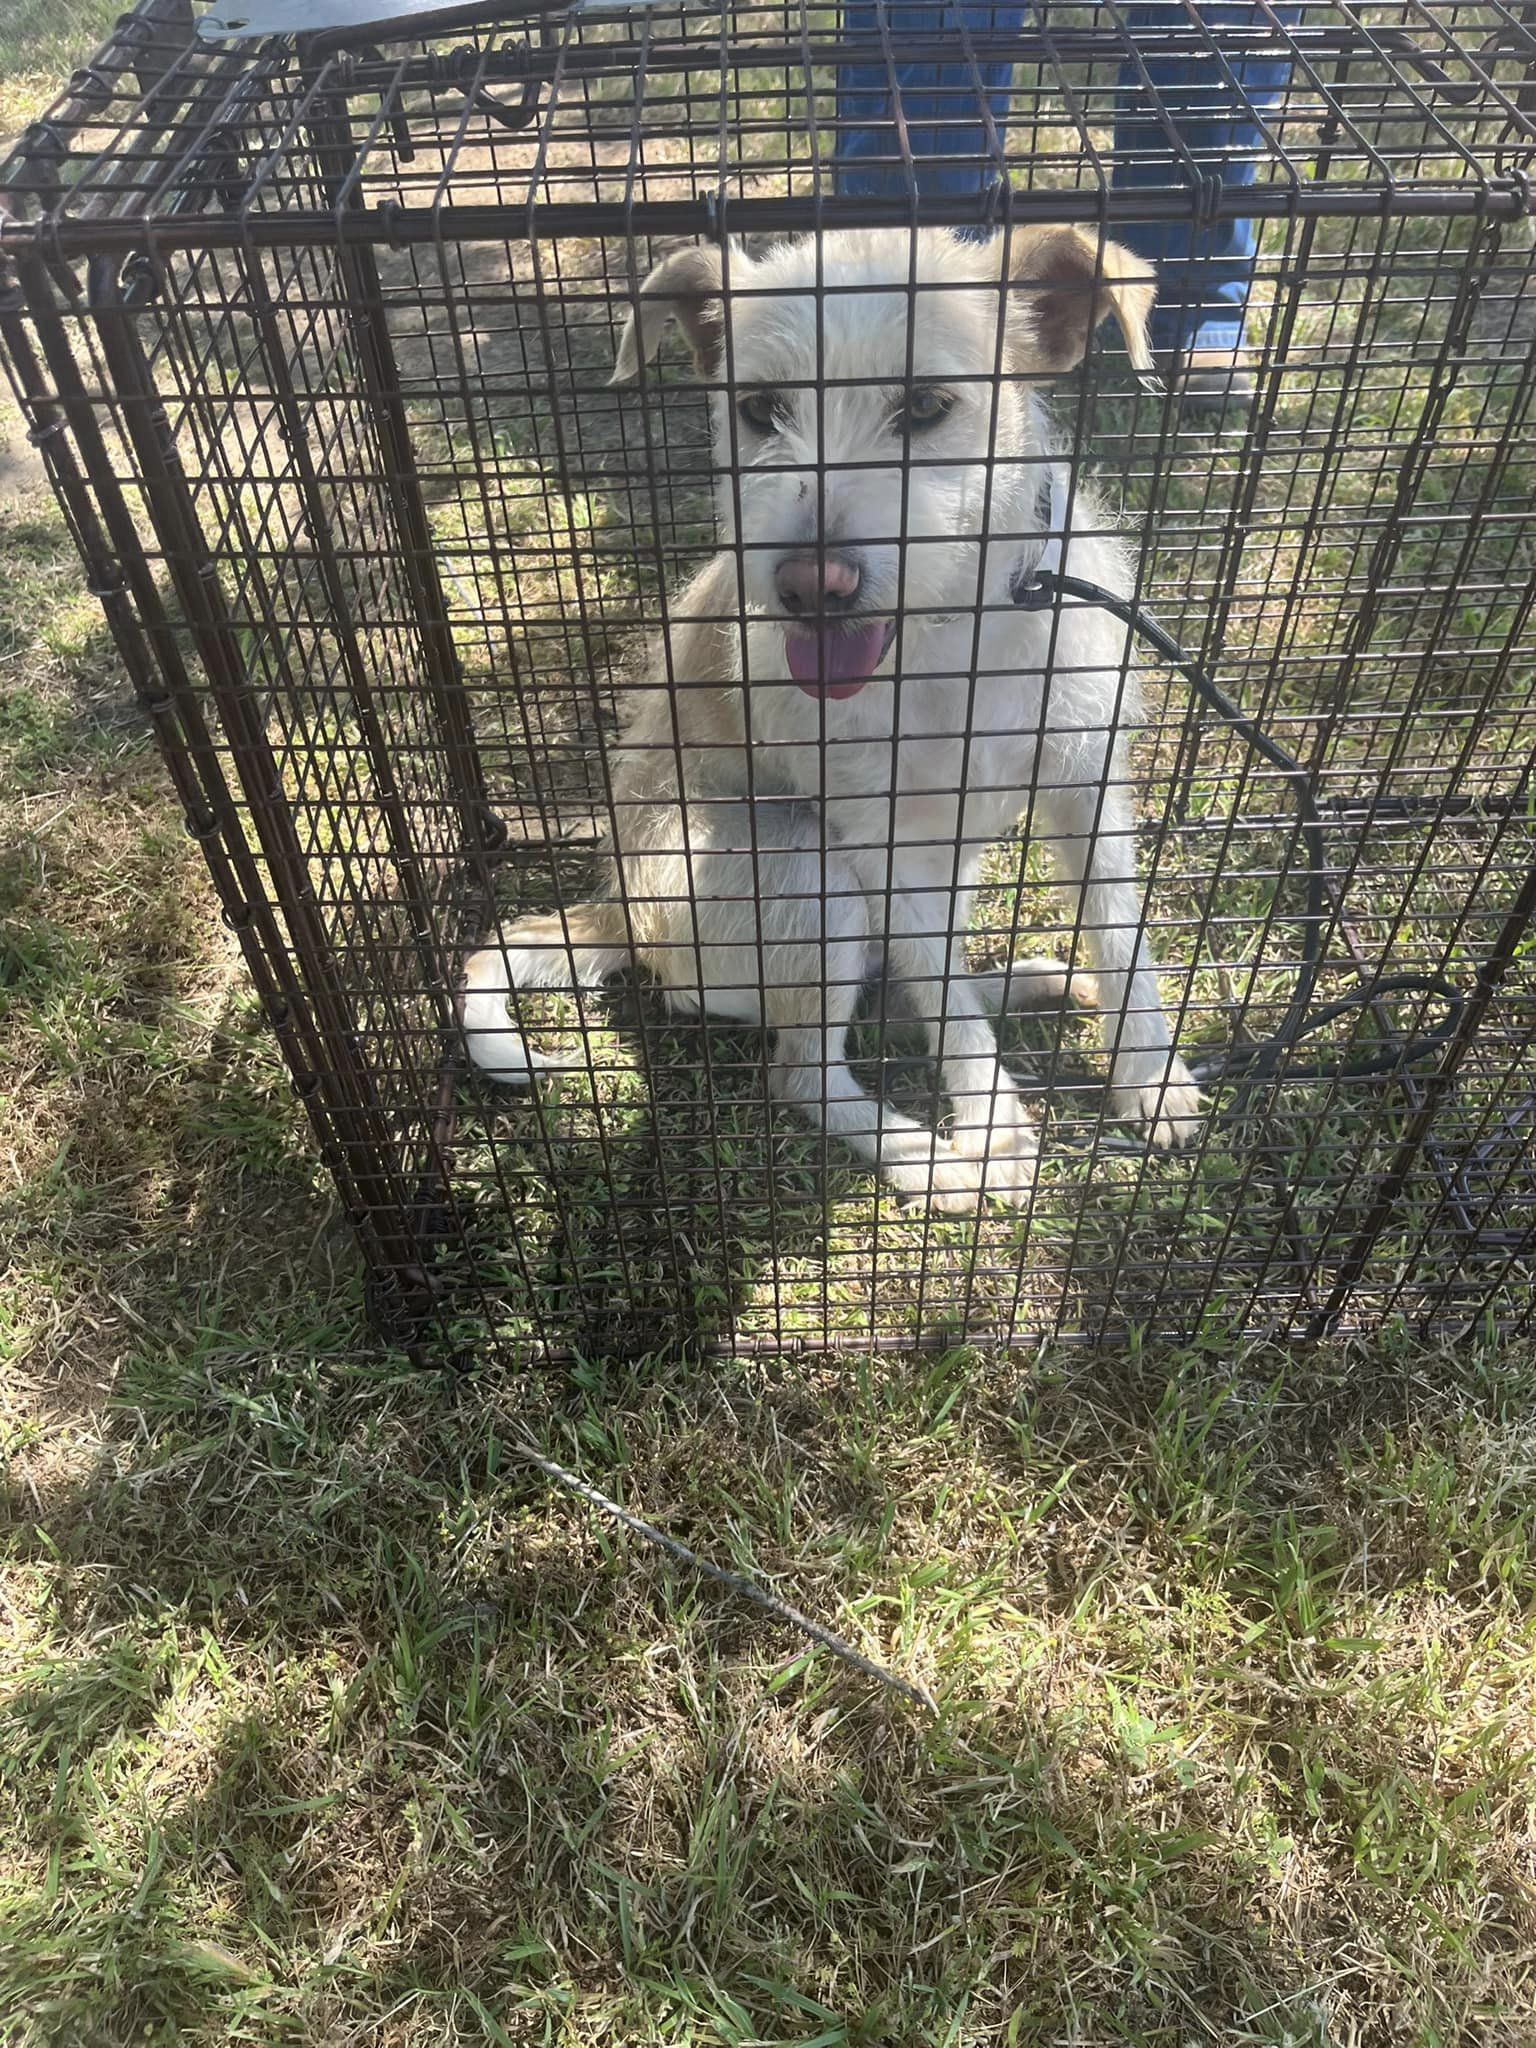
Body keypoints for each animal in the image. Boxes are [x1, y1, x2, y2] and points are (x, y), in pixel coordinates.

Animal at [462, 226, 1212, 1204]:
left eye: (926, 405)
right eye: (760, 409)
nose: (810, 588)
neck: (951, 635)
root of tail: (618, 911)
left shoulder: (1087, 787)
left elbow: (1121, 939)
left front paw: (1151, 1079)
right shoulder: (880, 844)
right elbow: (949, 1015)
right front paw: (995, 1136)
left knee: (899, 994)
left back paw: (1028, 985)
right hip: (806, 871)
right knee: (809, 1071)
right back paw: (929, 1160)